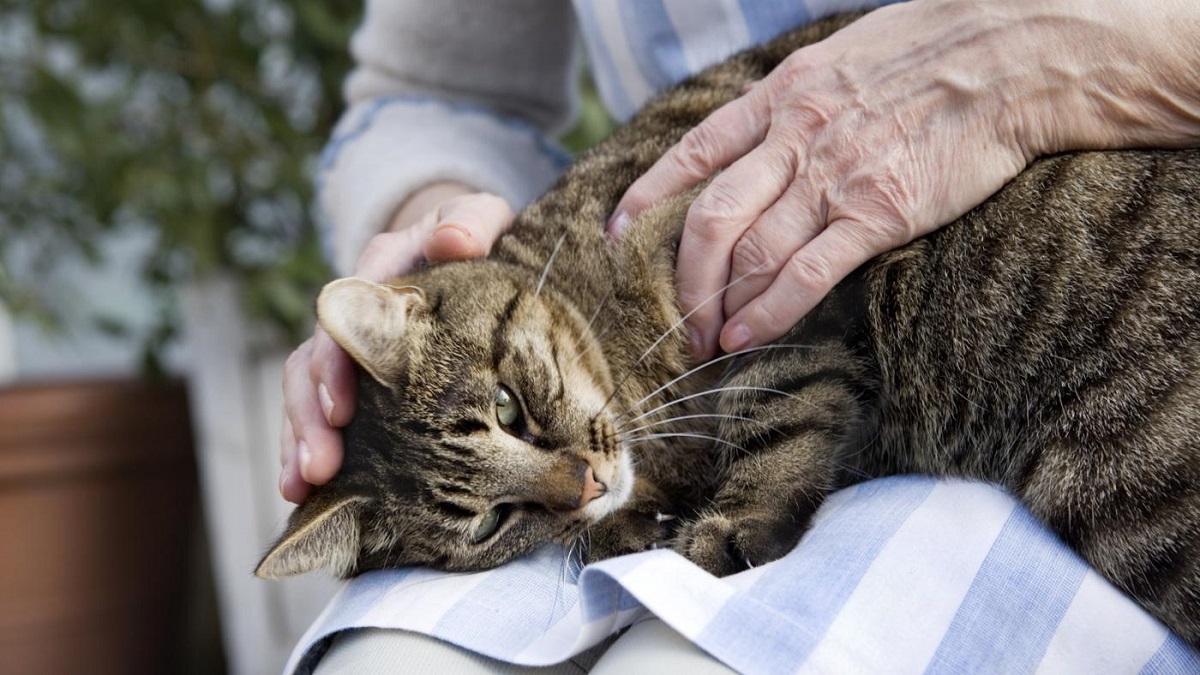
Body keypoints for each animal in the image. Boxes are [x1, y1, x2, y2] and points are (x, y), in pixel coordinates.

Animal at [260, 11, 1200, 638]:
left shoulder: (764, 264)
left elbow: (776, 409)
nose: (585, 486)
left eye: (506, 407)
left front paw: (722, 526)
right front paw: (632, 526)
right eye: (489, 523)